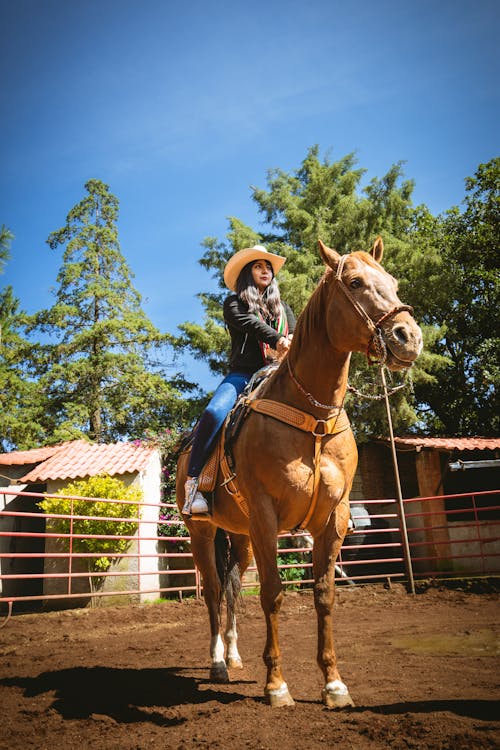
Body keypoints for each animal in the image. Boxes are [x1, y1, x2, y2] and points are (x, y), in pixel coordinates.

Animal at [177, 239, 422, 712]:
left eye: (394, 281)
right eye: (355, 282)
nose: (409, 337)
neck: (312, 417)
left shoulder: (334, 519)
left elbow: (324, 595)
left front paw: (334, 685)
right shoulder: (266, 517)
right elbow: (272, 593)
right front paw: (277, 685)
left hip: (240, 538)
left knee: (232, 587)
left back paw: (233, 656)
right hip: (203, 530)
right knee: (214, 591)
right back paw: (217, 661)